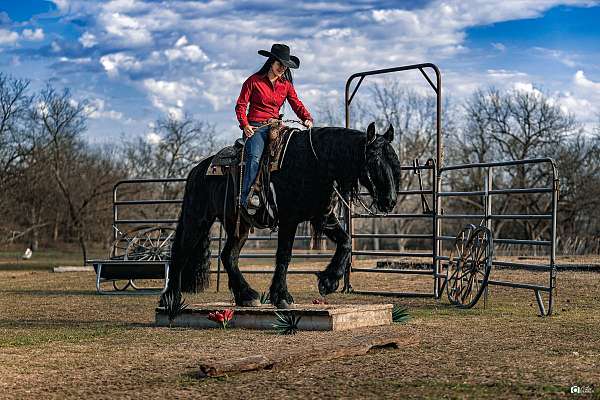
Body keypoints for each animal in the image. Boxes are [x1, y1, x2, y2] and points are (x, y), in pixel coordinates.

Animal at [162, 122, 400, 310]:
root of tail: (197, 171)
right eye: (375, 161)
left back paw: (246, 295)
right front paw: (282, 296)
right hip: (197, 220)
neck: (314, 163)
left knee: (228, 256)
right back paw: (170, 298)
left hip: (238, 226)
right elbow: (284, 256)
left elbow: (346, 242)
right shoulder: (289, 220)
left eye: (394, 162)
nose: (390, 200)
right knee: (180, 252)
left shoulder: (321, 218)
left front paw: (329, 281)